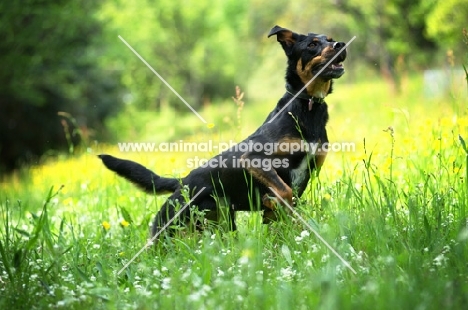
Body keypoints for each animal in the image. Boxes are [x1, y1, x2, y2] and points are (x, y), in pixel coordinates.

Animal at [99, 24, 348, 237]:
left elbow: (289, 206)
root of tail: (182, 182)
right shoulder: (255, 158)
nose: (341, 45)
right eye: (312, 44)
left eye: (330, 39)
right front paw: (273, 205)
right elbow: (283, 191)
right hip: (167, 226)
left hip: (221, 223)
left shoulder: (309, 170)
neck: (307, 105)